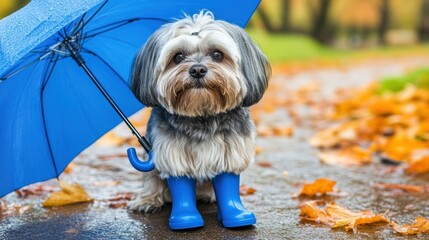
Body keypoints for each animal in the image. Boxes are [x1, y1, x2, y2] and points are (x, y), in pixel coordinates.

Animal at [126, 10, 270, 229]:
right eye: (178, 57)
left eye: (218, 55)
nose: (197, 70)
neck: (202, 115)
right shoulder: (172, 154)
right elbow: (180, 184)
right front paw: (185, 219)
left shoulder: (229, 153)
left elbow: (227, 184)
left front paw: (235, 215)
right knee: (152, 179)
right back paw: (147, 199)